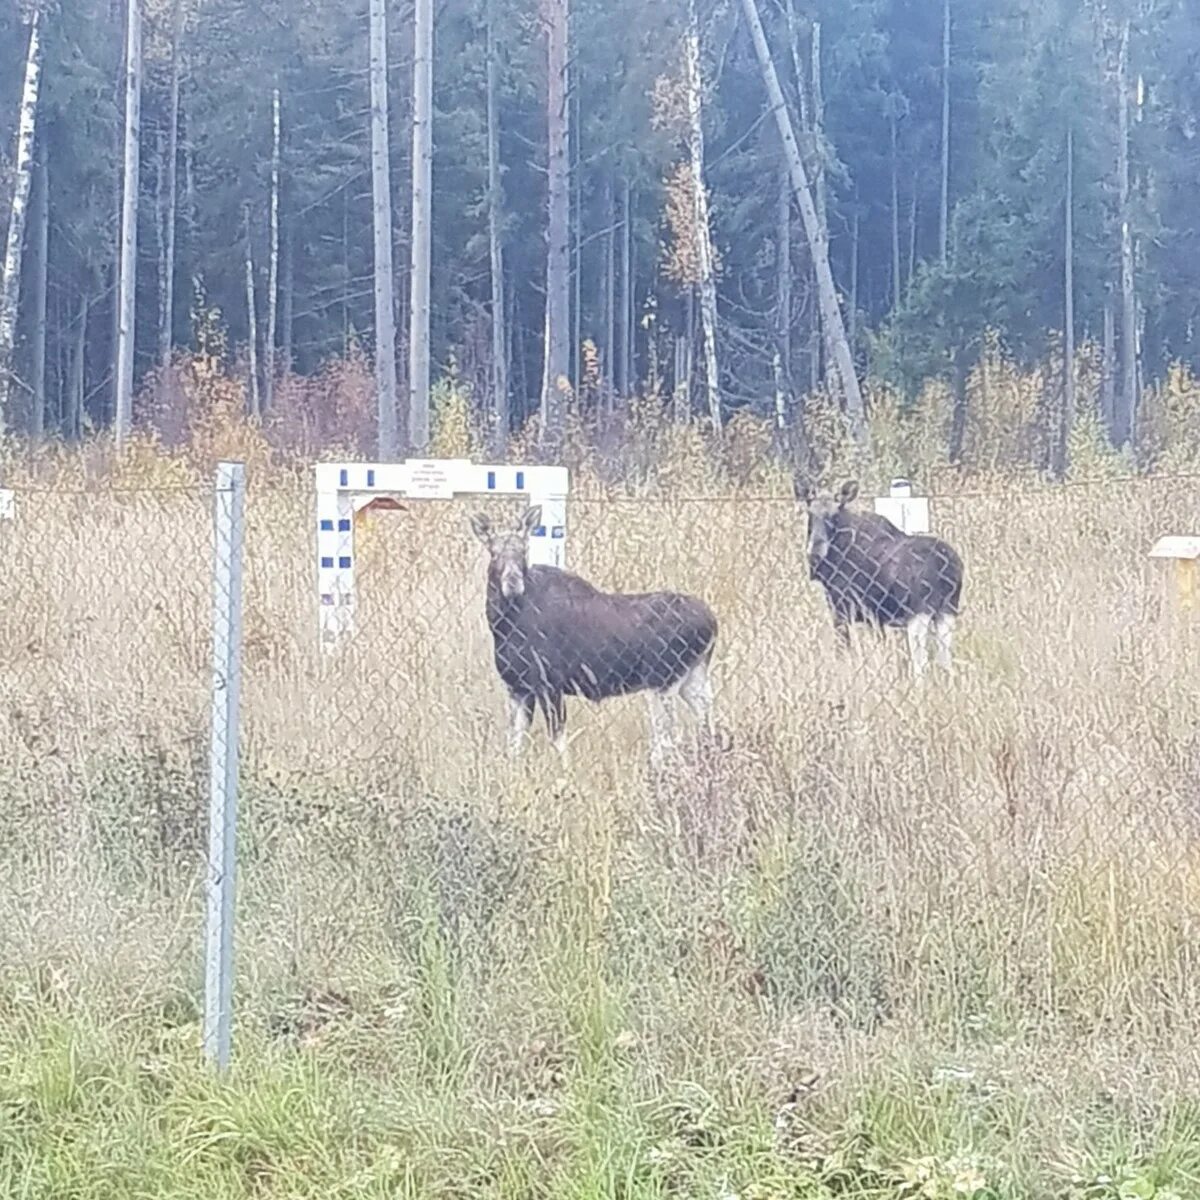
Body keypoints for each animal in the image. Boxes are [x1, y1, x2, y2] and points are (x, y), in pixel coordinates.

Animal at [465, 504, 710, 763]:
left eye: (523, 551)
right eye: (493, 552)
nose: (513, 581)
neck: (503, 625)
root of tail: (712, 623)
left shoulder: (548, 683)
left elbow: (558, 741)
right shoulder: (518, 687)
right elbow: (514, 745)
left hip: (662, 682)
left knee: (666, 743)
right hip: (693, 679)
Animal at [796, 480, 964, 686]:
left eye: (834, 516)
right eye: (810, 513)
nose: (815, 551)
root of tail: (947, 566)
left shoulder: (841, 608)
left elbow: (842, 650)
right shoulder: (876, 618)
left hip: (919, 612)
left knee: (921, 661)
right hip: (947, 610)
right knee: (945, 658)